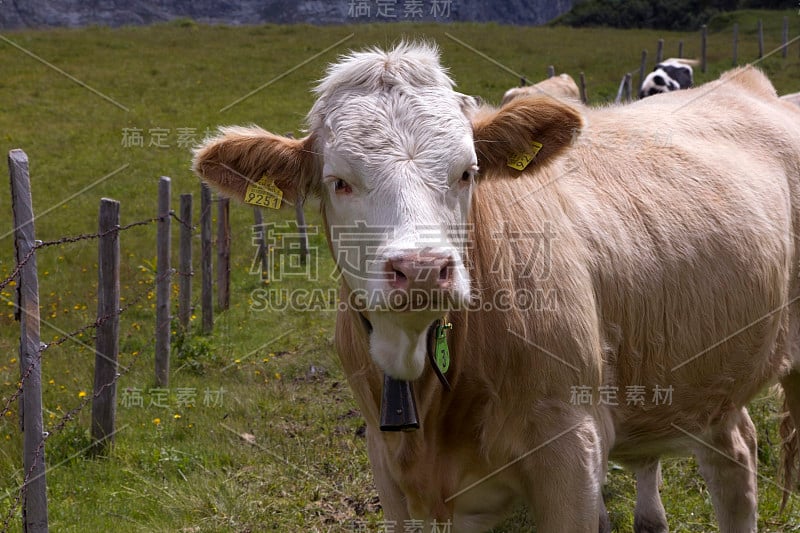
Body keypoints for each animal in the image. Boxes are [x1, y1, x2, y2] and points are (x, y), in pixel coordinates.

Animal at [192, 43, 800, 528]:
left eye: (468, 172)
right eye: (339, 181)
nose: (422, 268)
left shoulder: (570, 456)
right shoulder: (395, 478)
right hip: (709, 379)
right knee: (736, 454)